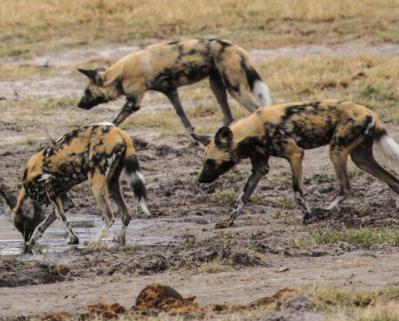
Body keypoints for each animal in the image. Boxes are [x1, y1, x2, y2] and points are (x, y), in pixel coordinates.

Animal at [0, 121, 150, 249]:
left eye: (21, 226)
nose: (24, 240)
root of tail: (118, 131)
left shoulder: (51, 190)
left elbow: (61, 218)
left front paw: (74, 239)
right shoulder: (63, 199)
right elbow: (47, 222)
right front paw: (33, 240)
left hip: (96, 183)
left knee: (109, 217)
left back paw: (93, 242)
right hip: (112, 182)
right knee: (126, 214)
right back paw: (120, 241)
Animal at [77, 38, 272, 132]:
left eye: (87, 92)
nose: (79, 105)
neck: (120, 73)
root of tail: (236, 48)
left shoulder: (133, 103)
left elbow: (114, 121)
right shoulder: (171, 92)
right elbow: (185, 122)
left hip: (235, 89)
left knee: (257, 109)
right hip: (217, 85)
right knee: (228, 116)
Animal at [194, 100, 399, 228]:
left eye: (211, 162)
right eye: (203, 162)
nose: (200, 180)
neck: (250, 133)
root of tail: (369, 111)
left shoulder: (295, 154)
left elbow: (297, 192)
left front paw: (308, 216)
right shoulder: (260, 168)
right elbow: (241, 199)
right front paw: (228, 221)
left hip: (336, 151)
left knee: (347, 188)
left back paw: (324, 211)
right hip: (361, 159)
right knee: (393, 181)